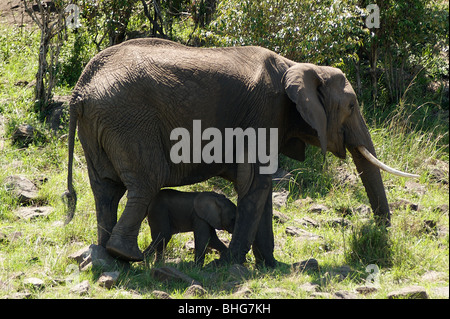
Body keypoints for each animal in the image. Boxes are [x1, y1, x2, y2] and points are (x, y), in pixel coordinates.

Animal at [62, 38, 414, 266]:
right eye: (352, 106)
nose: (379, 229)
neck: (297, 66)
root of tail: (79, 91)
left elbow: (262, 187)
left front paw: (271, 266)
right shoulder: (265, 112)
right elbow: (255, 184)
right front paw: (233, 264)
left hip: (99, 126)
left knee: (106, 190)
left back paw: (109, 256)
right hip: (130, 121)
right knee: (146, 182)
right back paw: (126, 255)